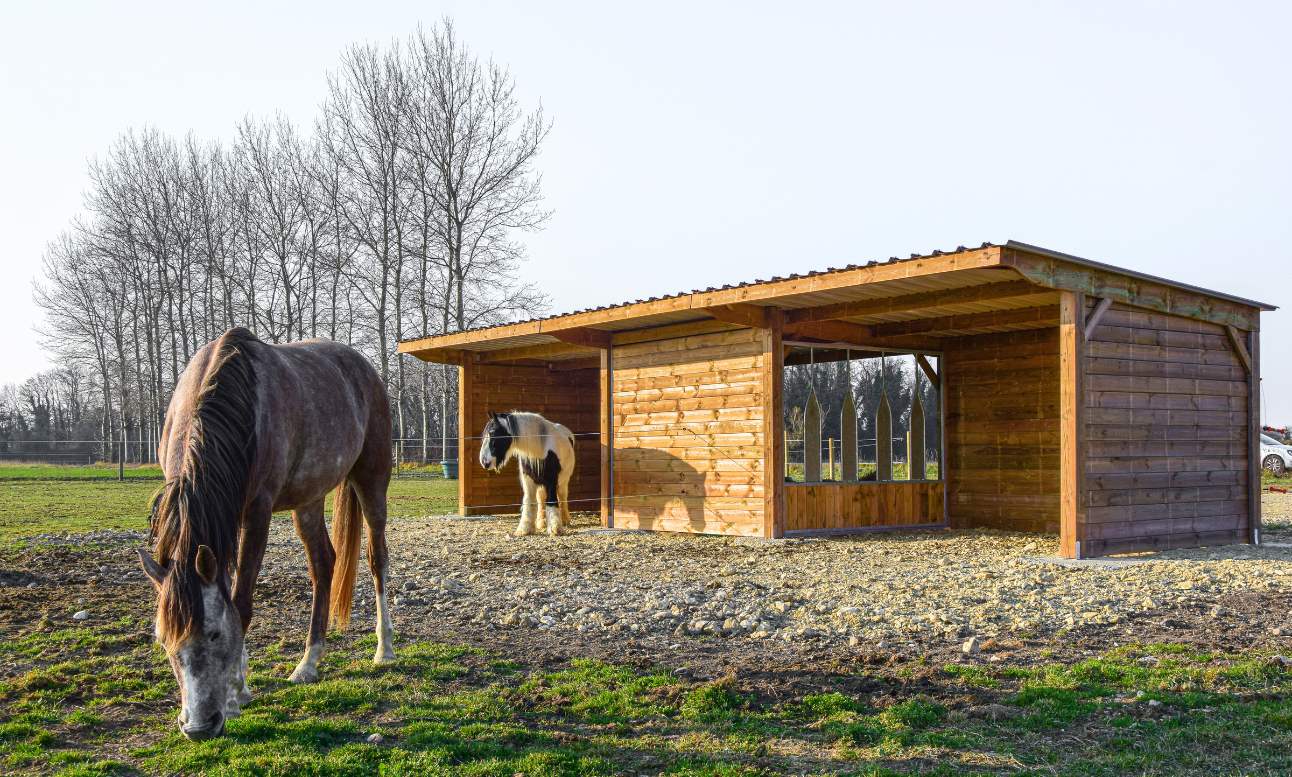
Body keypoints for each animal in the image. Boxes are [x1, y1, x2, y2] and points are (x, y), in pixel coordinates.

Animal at [137, 327, 394, 741]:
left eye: (213, 634)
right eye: (163, 640)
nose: (197, 726)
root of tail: (364, 369)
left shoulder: (256, 513)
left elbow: (241, 603)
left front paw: (234, 695)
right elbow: (229, 592)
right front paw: (241, 685)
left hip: (372, 482)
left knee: (377, 559)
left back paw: (384, 649)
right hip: (309, 498)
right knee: (324, 564)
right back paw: (309, 662)